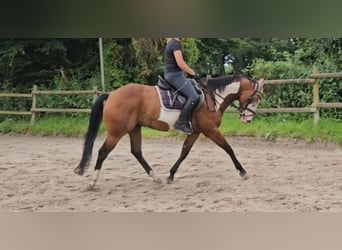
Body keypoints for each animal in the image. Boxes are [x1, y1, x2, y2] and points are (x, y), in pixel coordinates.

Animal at [75, 74, 264, 189]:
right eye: (255, 98)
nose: (247, 119)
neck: (212, 98)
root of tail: (112, 94)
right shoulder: (210, 130)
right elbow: (228, 148)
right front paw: (242, 171)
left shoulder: (195, 132)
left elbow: (184, 153)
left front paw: (171, 175)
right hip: (116, 133)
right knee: (103, 152)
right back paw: (92, 182)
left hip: (134, 129)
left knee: (136, 151)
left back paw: (155, 177)